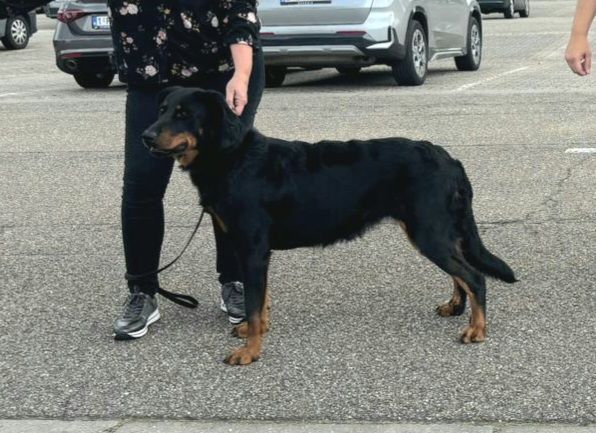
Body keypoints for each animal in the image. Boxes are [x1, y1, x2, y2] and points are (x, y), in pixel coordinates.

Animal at [141, 87, 516, 364]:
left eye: (183, 114)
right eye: (161, 109)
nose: (145, 135)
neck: (231, 157)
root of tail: (449, 159)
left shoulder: (252, 248)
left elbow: (253, 302)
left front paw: (250, 352)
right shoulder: (255, 251)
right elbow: (260, 300)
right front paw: (254, 332)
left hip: (428, 232)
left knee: (474, 277)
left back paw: (476, 330)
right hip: (435, 231)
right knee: (460, 274)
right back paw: (455, 307)